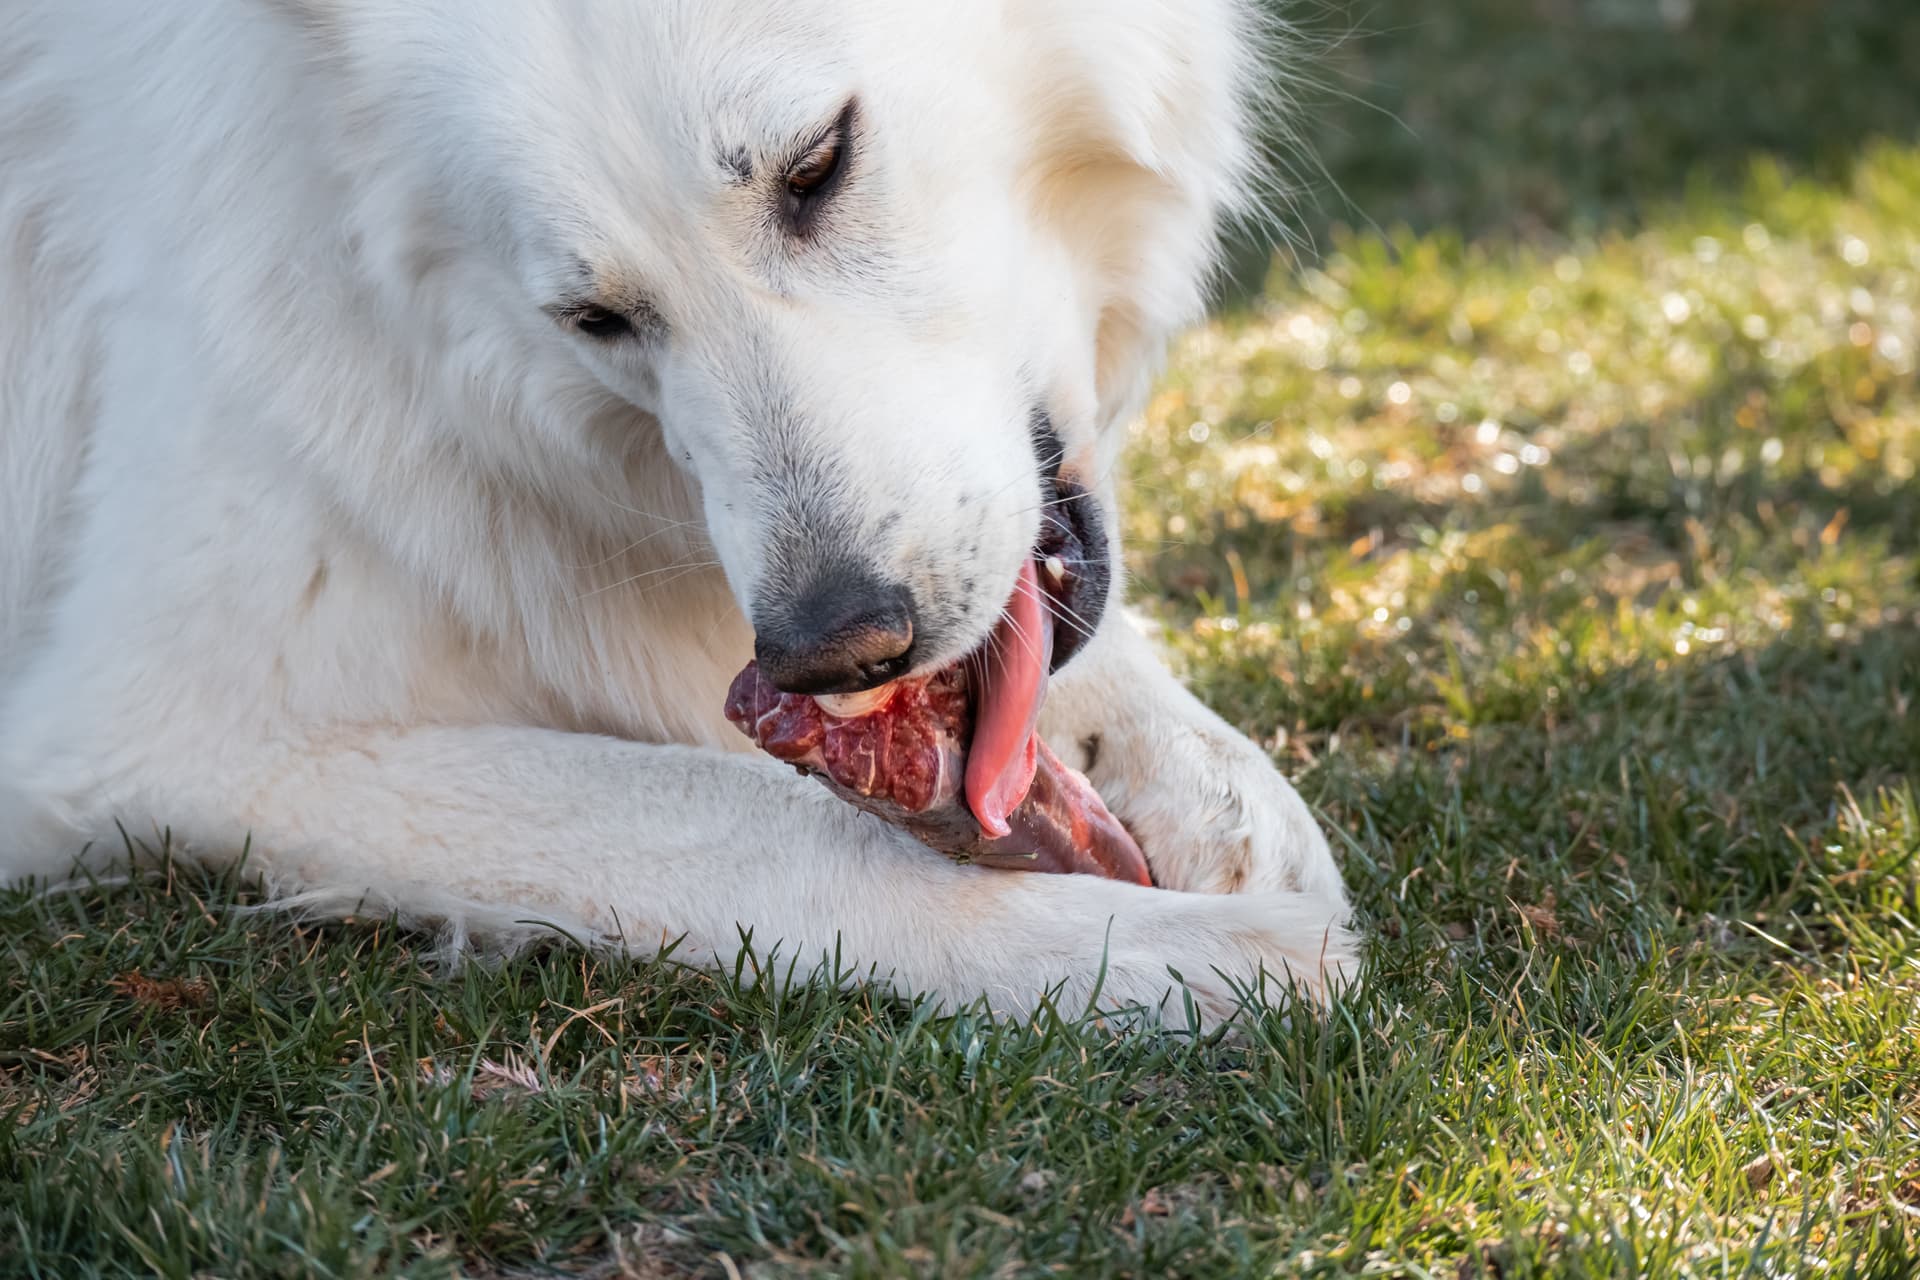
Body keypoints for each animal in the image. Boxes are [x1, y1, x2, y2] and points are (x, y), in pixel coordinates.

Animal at [0, 0, 1351, 1028]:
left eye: (818, 164)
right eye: (595, 318)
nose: (834, 650)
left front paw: (1213, 789)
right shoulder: (162, 738)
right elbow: (761, 821)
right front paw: (1161, 949)